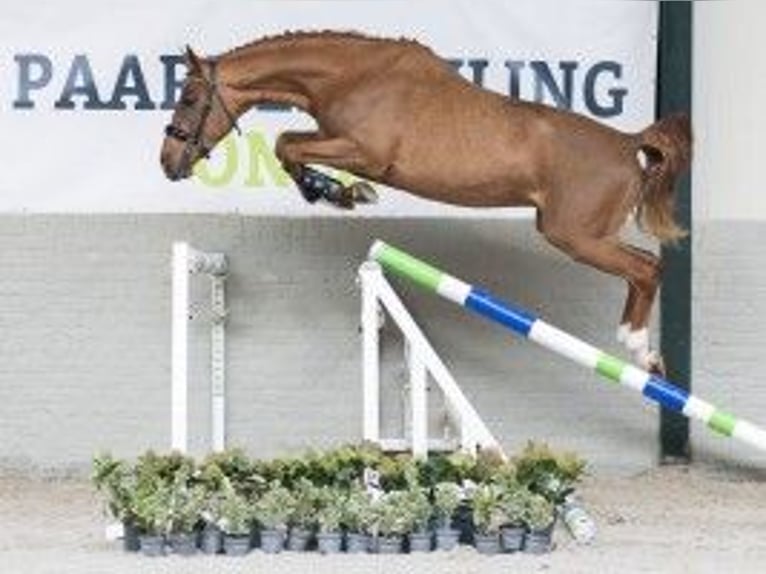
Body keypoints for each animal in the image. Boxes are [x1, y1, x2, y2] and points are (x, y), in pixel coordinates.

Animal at [162, 31, 696, 374]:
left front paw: (342, 193)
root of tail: (630, 146)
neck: (351, 76)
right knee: (642, 267)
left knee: (646, 267)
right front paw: (334, 192)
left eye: (188, 98)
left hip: (575, 235)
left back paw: (638, 349)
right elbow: (289, 144)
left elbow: (288, 147)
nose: (168, 162)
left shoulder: (367, 154)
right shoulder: (338, 141)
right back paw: (645, 356)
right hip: (576, 233)